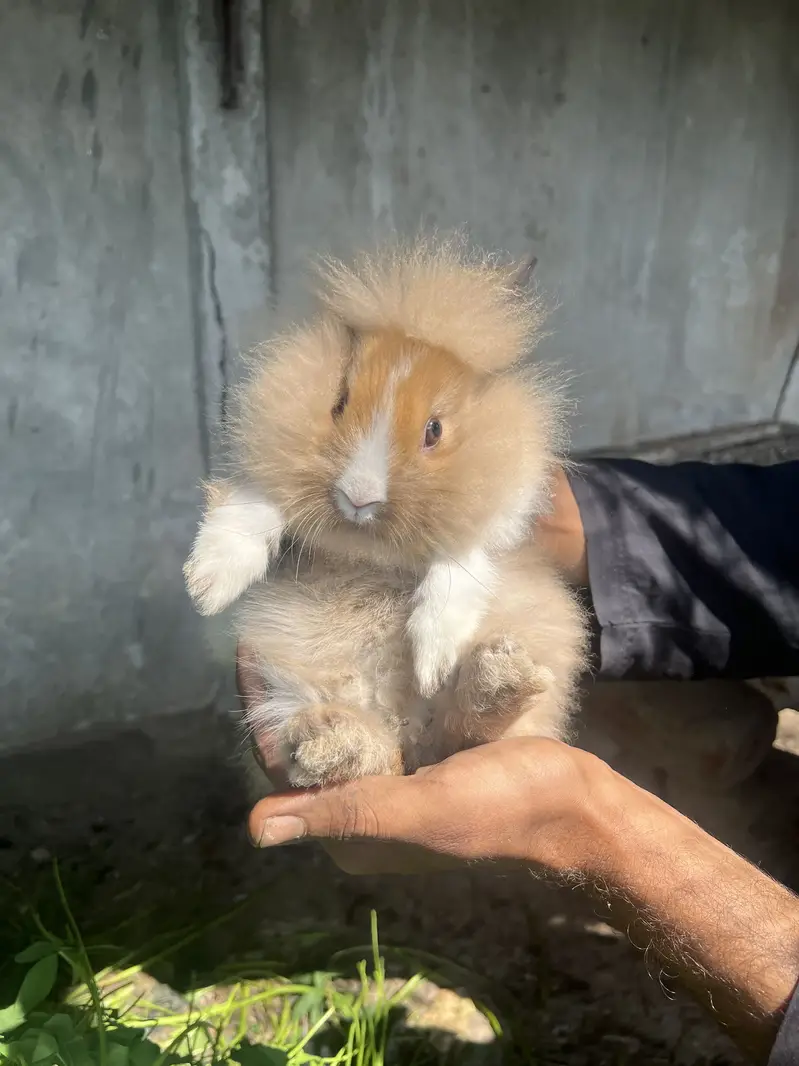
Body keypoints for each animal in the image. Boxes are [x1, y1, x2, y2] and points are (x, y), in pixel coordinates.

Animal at [184, 235, 589, 785]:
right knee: (374, 755)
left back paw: (497, 679)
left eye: (434, 430)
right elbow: (257, 502)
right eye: (337, 401)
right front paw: (210, 583)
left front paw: (434, 653)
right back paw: (329, 740)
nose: (359, 496)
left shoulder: (510, 506)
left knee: (466, 732)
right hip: (290, 688)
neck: (368, 551)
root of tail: (406, 734)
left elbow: (465, 554)